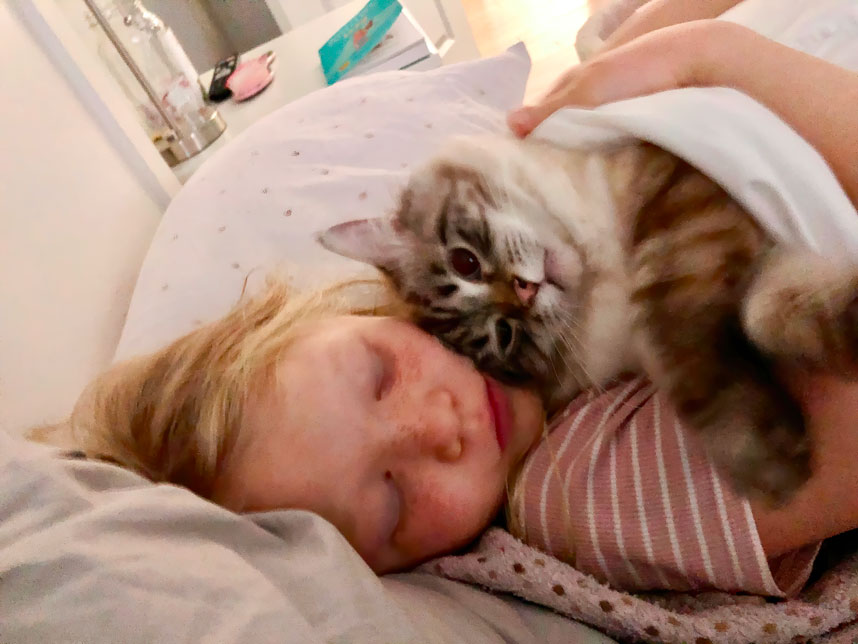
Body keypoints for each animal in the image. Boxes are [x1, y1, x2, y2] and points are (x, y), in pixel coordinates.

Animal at [318, 134, 858, 506]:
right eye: (504, 334)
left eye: (465, 262)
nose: (525, 291)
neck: (607, 274)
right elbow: (775, 314)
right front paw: (772, 458)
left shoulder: (678, 194)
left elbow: (679, 330)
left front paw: (764, 459)